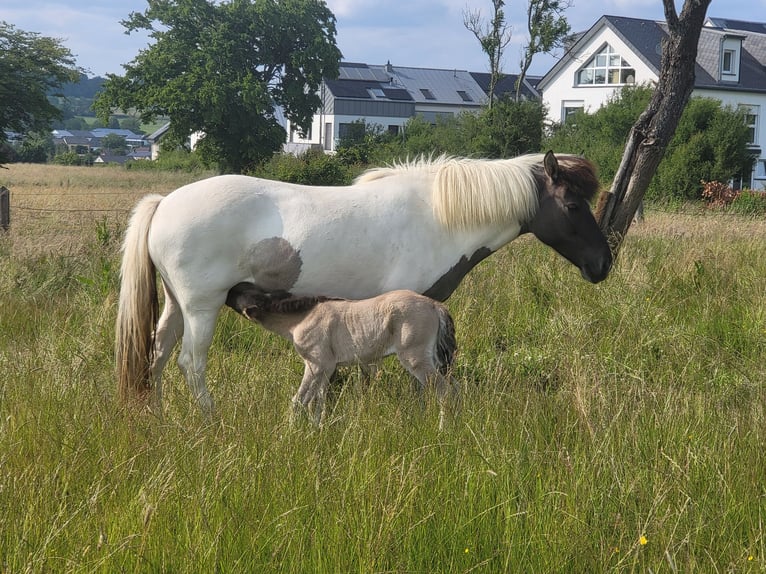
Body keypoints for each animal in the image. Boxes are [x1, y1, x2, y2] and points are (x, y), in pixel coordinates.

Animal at [115, 150, 612, 414]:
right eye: (572, 204)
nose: (603, 264)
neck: (437, 216)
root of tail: (165, 202)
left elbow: (367, 370)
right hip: (202, 306)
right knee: (190, 364)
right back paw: (211, 419)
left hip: (176, 306)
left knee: (158, 356)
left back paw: (156, 414)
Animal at [225, 284, 458, 429]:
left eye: (240, 294)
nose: (227, 290)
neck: (302, 318)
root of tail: (436, 306)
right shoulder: (325, 369)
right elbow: (318, 400)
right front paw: (316, 429)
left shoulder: (316, 365)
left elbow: (299, 401)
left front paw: (289, 434)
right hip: (434, 360)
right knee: (454, 389)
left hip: (416, 359)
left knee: (444, 392)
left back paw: (443, 430)